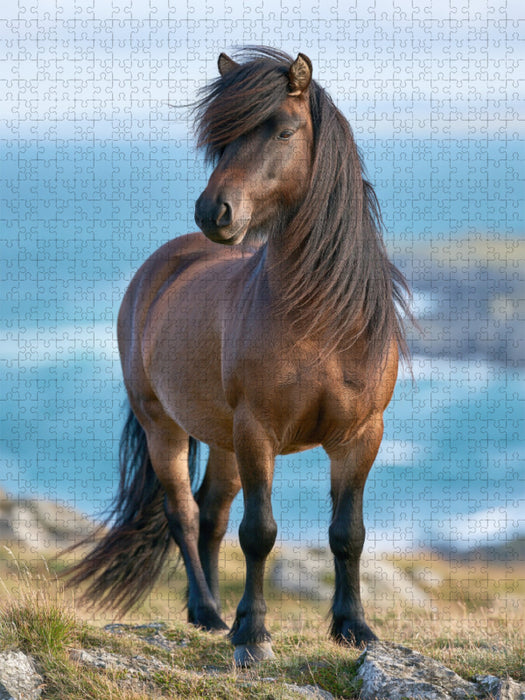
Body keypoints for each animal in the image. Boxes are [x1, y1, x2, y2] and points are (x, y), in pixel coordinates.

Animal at [66, 47, 411, 666]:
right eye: (222, 140)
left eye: (284, 130)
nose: (214, 212)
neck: (321, 319)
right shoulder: (258, 431)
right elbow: (260, 532)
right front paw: (252, 633)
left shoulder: (360, 435)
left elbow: (347, 533)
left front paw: (353, 627)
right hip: (165, 426)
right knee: (183, 514)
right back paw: (209, 611)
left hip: (222, 438)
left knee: (211, 513)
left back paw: (204, 616)